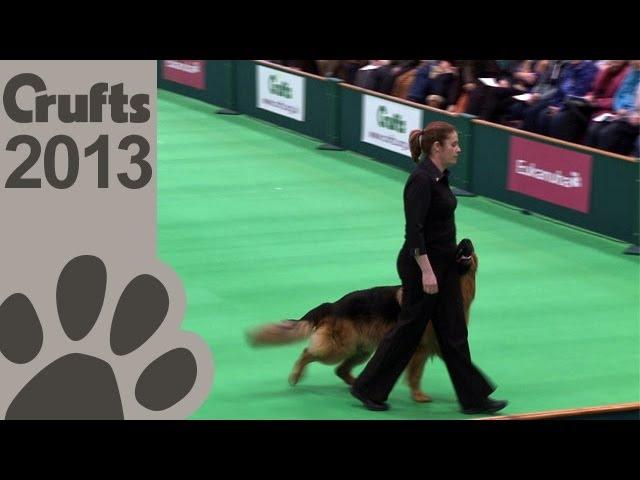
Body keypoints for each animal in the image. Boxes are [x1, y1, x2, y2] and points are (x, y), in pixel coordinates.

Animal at [248, 240, 478, 402]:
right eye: (458, 246)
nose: (466, 240)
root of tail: (333, 305)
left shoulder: (438, 346)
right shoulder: (419, 351)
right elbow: (415, 376)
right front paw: (418, 395)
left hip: (361, 350)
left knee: (340, 370)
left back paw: (357, 385)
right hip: (338, 348)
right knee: (308, 353)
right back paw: (296, 375)